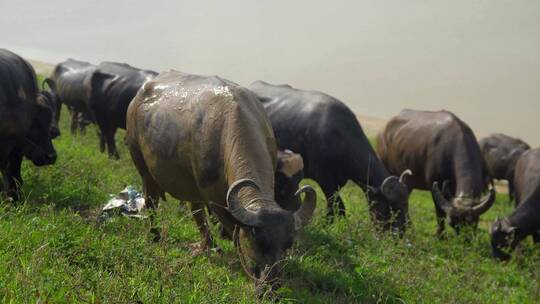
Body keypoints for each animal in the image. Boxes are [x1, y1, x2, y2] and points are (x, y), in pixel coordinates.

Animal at [126, 70, 316, 290]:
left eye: (288, 244)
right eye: (259, 242)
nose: (273, 284)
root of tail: (137, 98)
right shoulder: (215, 201)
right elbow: (233, 232)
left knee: (195, 210)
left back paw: (210, 246)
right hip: (143, 169)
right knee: (151, 202)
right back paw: (155, 235)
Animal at [249, 81, 410, 233]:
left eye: (406, 205)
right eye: (390, 207)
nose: (399, 233)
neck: (340, 137)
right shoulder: (326, 181)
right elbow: (336, 206)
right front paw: (328, 226)